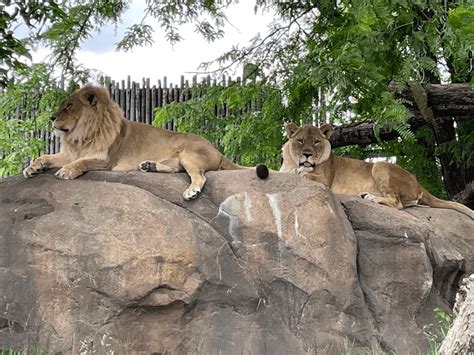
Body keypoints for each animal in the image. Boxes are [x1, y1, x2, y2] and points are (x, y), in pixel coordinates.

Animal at [24, 84, 268, 199]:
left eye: (68, 106)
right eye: (62, 105)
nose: (52, 118)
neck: (80, 135)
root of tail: (217, 150)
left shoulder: (105, 160)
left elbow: (81, 162)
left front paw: (67, 171)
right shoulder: (69, 153)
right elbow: (44, 156)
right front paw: (32, 168)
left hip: (189, 154)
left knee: (199, 177)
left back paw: (191, 191)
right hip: (179, 159)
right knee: (176, 169)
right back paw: (148, 166)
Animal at [282, 123, 474, 220]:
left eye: (316, 142)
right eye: (300, 140)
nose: (307, 154)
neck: (293, 162)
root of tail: (419, 183)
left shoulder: (325, 180)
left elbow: (307, 174)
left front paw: (298, 172)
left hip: (379, 166)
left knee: (397, 203)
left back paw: (371, 197)